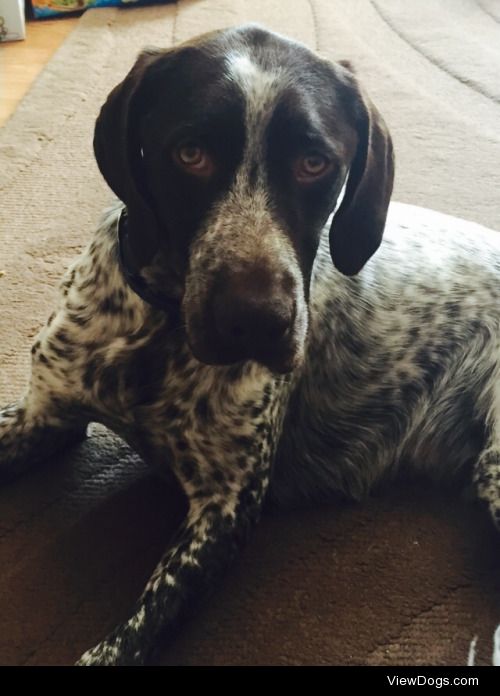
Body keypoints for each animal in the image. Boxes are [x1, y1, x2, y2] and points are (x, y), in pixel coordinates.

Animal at [0, 24, 500, 668]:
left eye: (315, 163)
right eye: (190, 153)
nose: (258, 321)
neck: (161, 328)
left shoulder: (225, 506)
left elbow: (125, 642)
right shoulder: (45, 416)